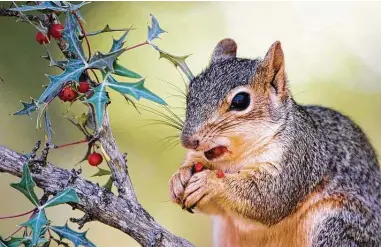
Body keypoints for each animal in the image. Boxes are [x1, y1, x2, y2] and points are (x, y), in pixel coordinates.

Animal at [168, 38, 380, 247]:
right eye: (190, 91)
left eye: (240, 100)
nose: (188, 140)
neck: (235, 161)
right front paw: (179, 178)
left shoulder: (298, 158)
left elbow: (270, 199)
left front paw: (209, 182)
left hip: (337, 224)